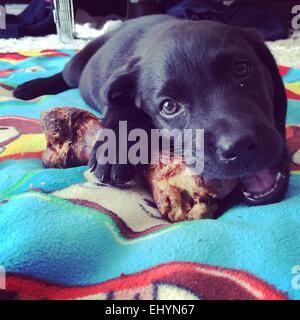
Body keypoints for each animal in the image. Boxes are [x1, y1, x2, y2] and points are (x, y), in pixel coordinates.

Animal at [13, 15, 288, 205]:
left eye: (241, 69)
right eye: (169, 107)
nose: (238, 146)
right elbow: (119, 109)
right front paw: (114, 151)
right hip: (75, 68)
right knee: (63, 75)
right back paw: (29, 87)